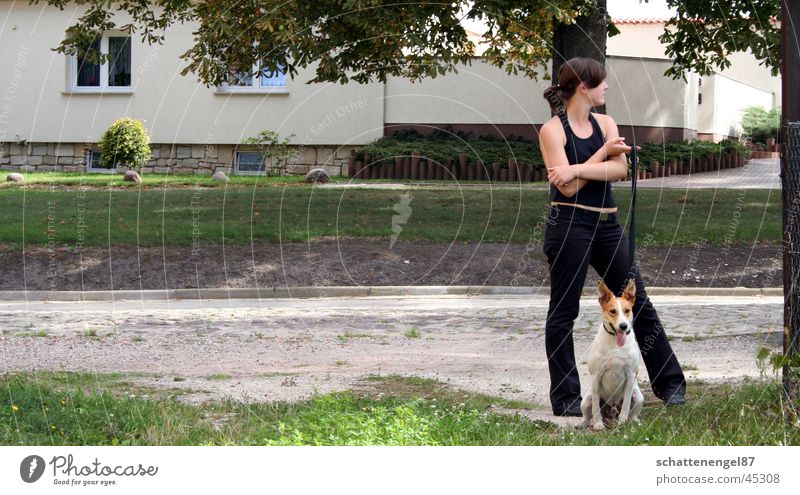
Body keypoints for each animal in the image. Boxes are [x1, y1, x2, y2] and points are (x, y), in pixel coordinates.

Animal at [580, 280, 644, 430]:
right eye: (612, 311)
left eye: (627, 310)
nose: (623, 326)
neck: (615, 343)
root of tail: (611, 411)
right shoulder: (596, 376)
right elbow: (595, 406)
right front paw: (598, 424)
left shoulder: (630, 376)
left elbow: (626, 405)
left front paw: (622, 423)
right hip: (586, 400)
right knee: (588, 414)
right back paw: (585, 423)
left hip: (638, 397)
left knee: (632, 413)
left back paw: (633, 422)